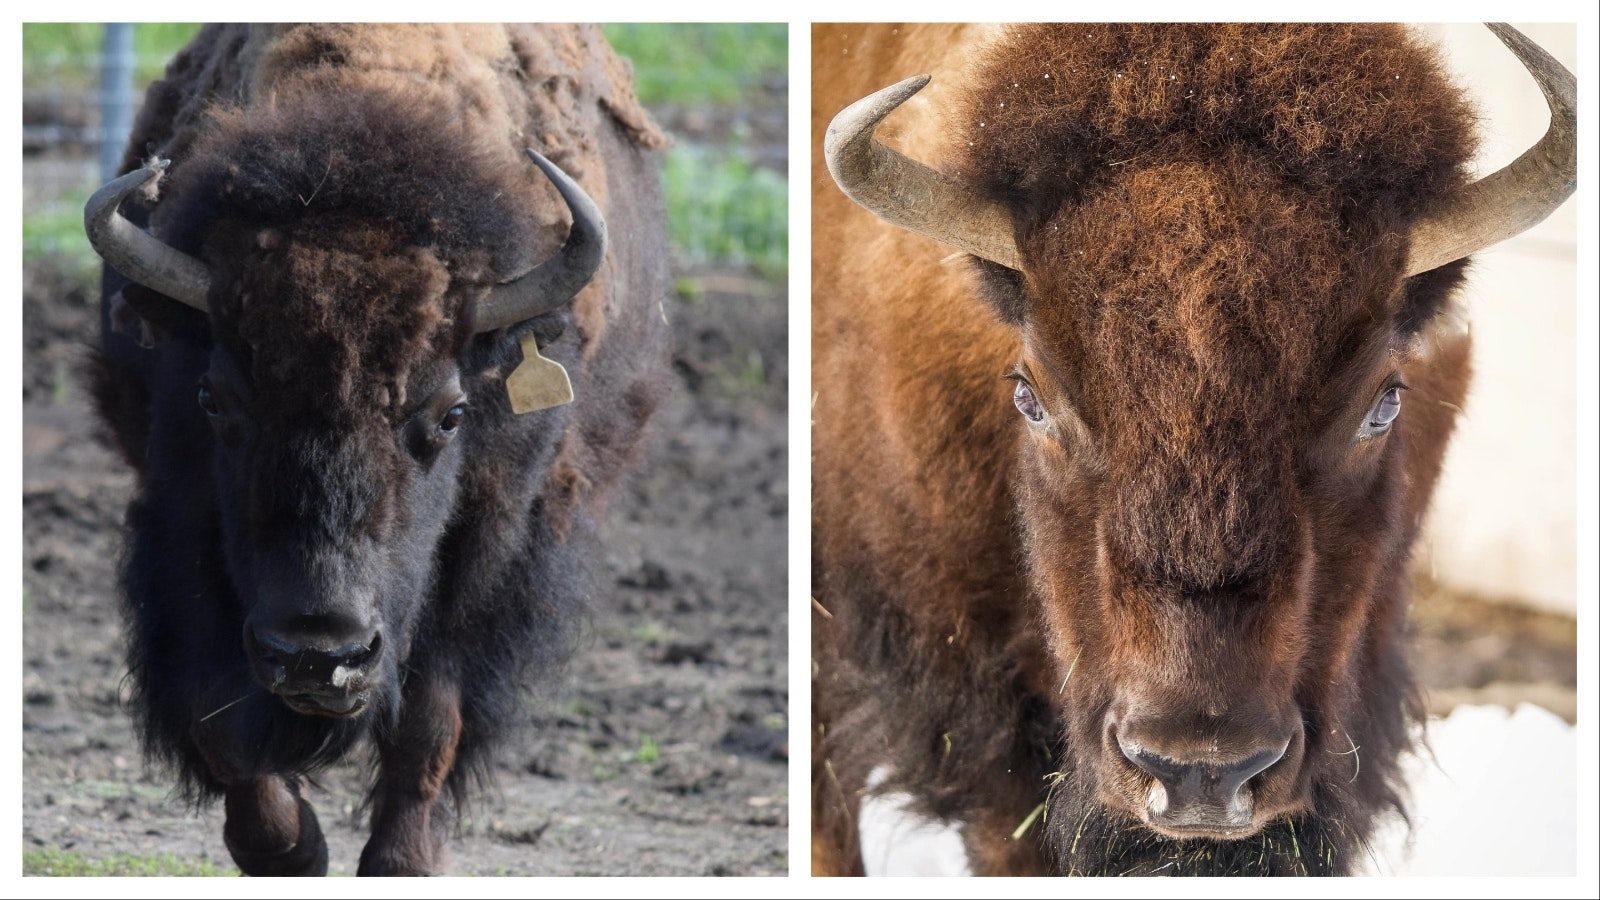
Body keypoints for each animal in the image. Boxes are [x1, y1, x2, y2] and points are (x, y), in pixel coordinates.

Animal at [82, 22, 668, 877]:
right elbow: (215, 714)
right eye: (214, 399)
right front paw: (292, 848)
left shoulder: (491, 545)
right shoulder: (180, 523)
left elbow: (431, 721)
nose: (317, 655)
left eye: (452, 413)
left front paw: (399, 859)